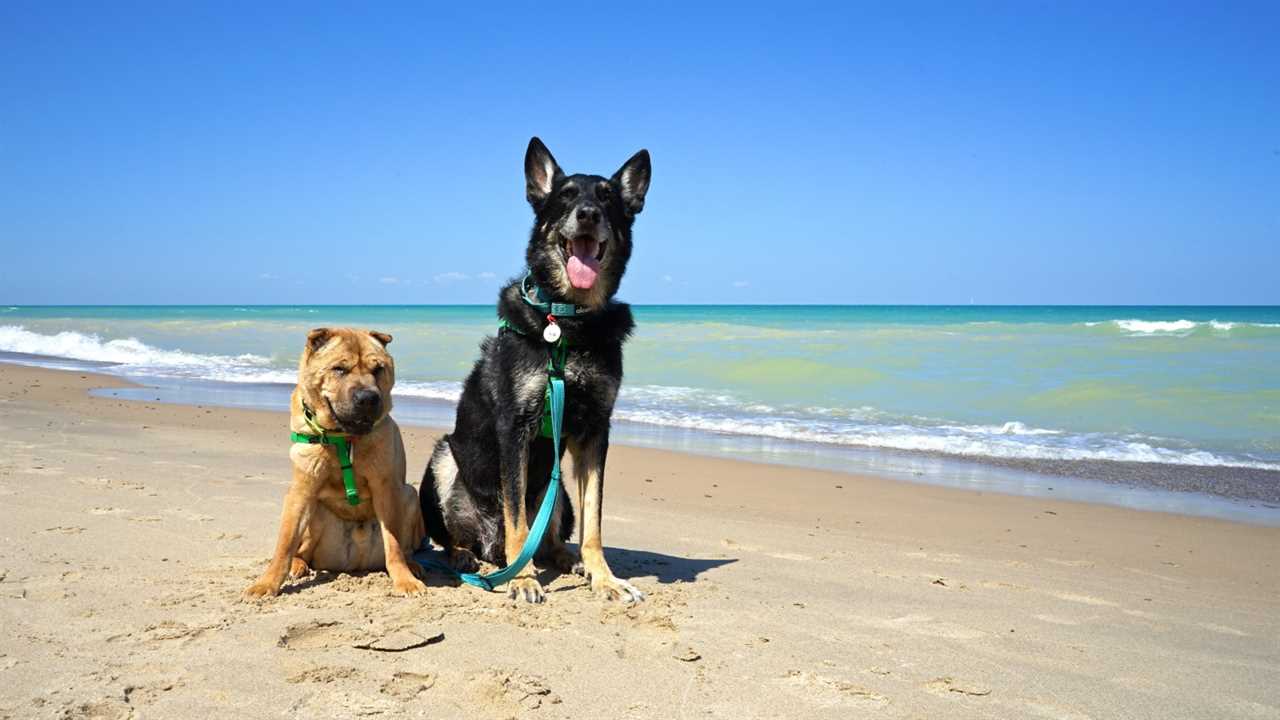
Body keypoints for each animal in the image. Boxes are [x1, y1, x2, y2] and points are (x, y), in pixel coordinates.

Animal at [245, 325, 430, 594]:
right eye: (339, 369)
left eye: (378, 369)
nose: (368, 398)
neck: (343, 438)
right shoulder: (301, 491)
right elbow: (285, 544)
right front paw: (266, 583)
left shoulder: (386, 487)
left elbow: (393, 543)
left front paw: (405, 580)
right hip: (316, 512)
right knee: (302, 550)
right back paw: (298, 565)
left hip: (408, 495)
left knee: (404, 547)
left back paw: (413, 565)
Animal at [422, 134, 650, 599]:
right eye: (566, 197)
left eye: (607, 198)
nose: (587, 214)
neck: (567, 321)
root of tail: (487, 545)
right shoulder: (516, 428)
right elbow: (517, 521)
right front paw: (523, 578)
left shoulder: (595, 431)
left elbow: (594, 521)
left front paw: (604, 577)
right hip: (444, 459)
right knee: (461, 535)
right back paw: (470, 557)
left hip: (557, 489)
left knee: (549, 535)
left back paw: (567, 560)